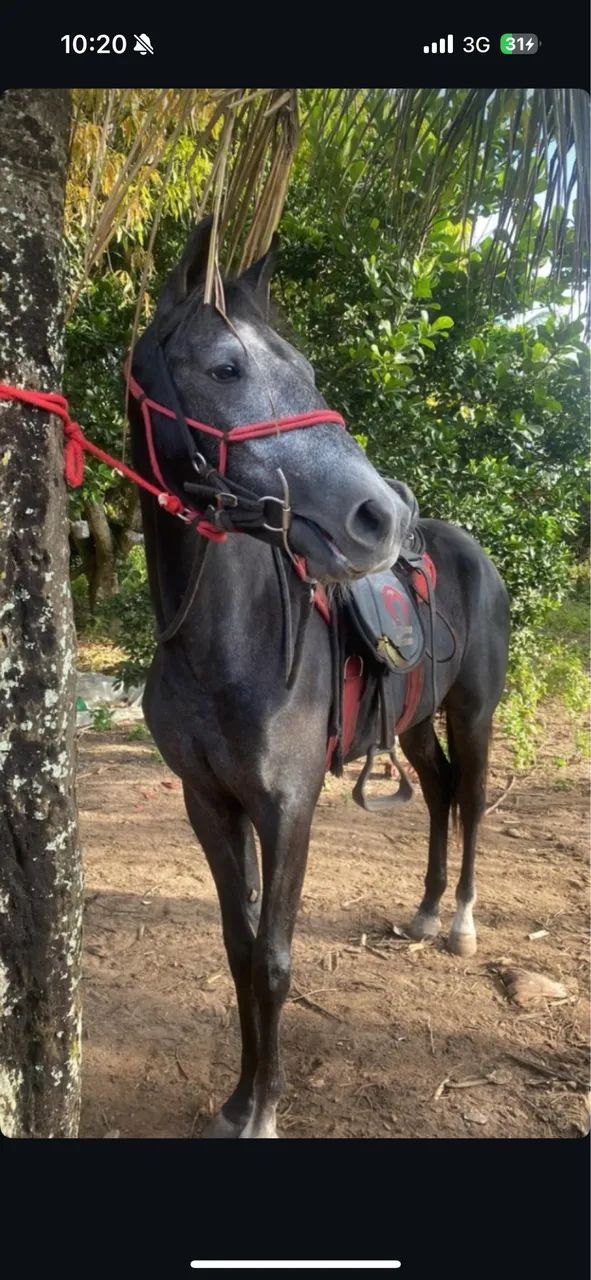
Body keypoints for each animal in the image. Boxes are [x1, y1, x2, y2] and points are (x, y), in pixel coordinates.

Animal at [127, 217, 510, 1138]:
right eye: (225, 369)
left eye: (302, 370)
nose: (380, 517)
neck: (225, 645)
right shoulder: (209, 801)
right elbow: (237, 946)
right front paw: (237, 1100)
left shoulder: (287, 804)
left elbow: (273, 956)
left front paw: (265, 1109)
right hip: (413, 722)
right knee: (438, 791)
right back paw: (422, 911)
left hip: (473, 712)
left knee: (472, 798)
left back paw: (460, 923)